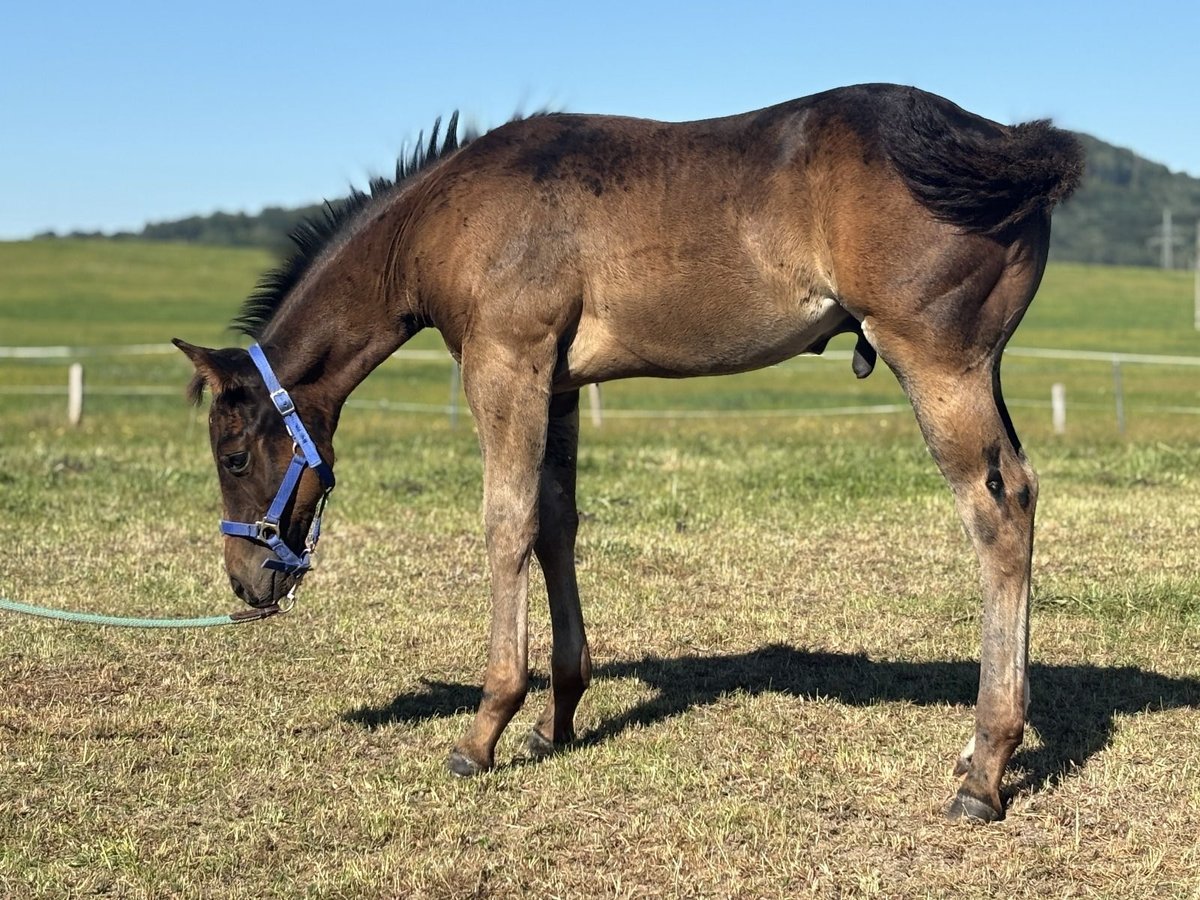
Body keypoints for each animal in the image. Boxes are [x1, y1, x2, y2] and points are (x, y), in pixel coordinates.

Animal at [174, 83, 1084, 822]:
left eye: (233, 457)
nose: (246, 583)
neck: (445, 217)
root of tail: (1000, 142)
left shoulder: (505, 362)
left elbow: (505, 524)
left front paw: (485, 727)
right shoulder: (558, 383)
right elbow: (554, 524)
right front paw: (557, 717)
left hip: (937, 362)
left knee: (999, 508)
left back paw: (986, 770)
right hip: (979, 366)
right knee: (1022, 495)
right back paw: (974, 751)